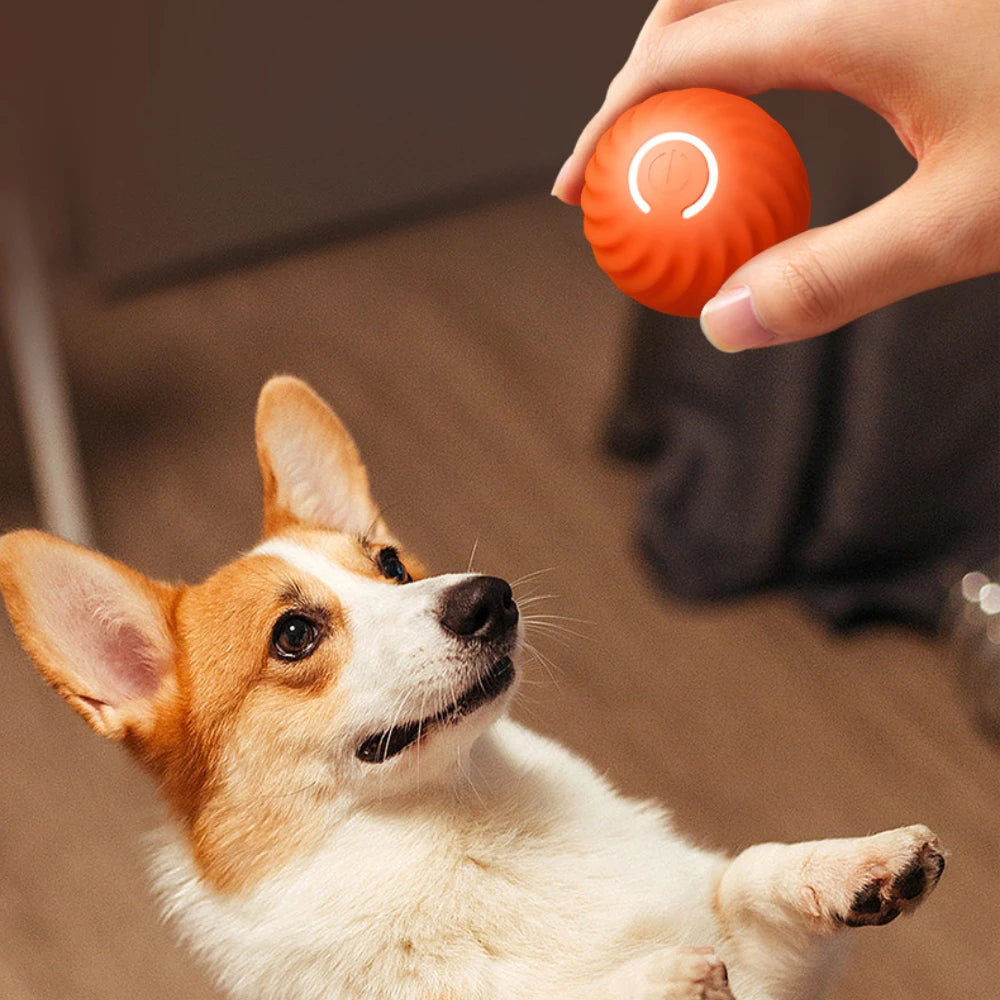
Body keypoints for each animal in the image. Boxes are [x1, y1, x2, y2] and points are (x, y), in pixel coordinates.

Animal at [0, 376, 944, 1000]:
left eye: (389, 563)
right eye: (295, 635)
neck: (466, 828)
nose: (491, 597)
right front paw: (658, 979)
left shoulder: (764, 964)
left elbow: (748, 873)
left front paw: (865, 863)